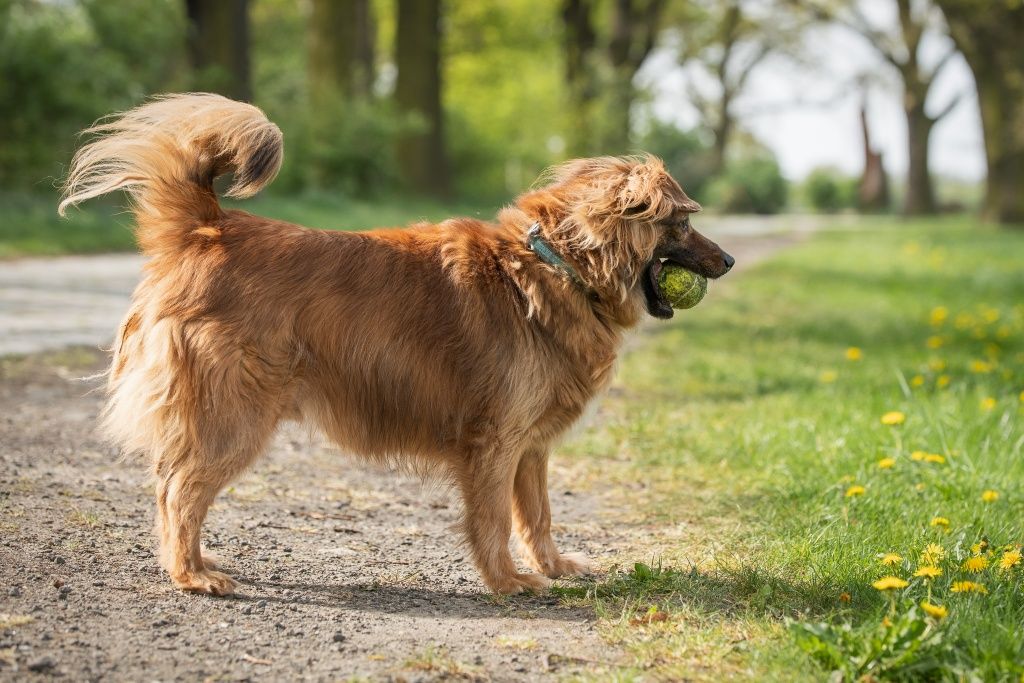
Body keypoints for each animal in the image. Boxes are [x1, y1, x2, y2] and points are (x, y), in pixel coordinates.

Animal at [59, 93, 733, 593]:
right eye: (682, 222)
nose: (727, 261)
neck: (554, 264)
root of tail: (208, 228)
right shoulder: (494, 443)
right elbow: (493, 519)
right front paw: (508, 582)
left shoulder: (530, 447)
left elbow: (538, 516)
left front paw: (554, 567)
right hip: (235, 417)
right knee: (178, 491)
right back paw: (190, 574)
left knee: (172, 487)